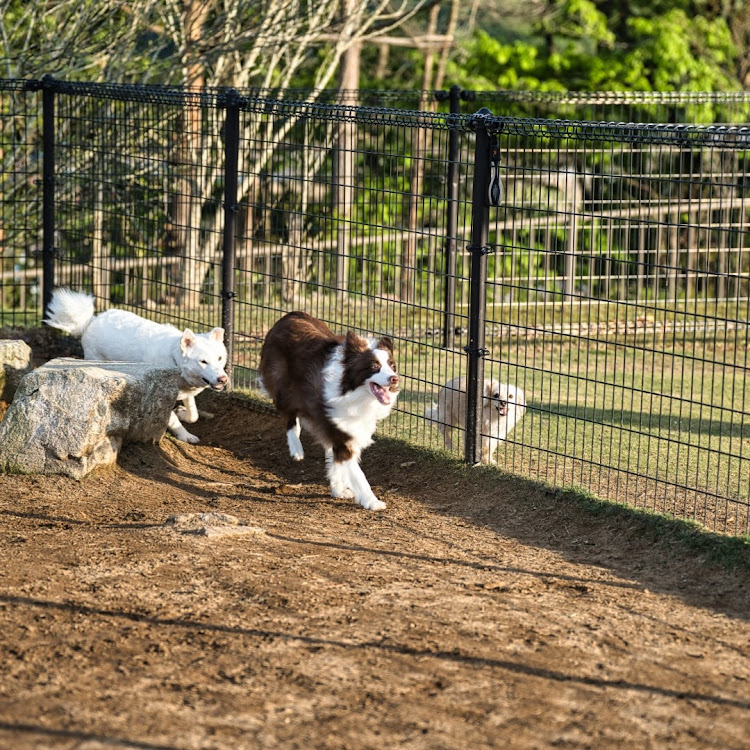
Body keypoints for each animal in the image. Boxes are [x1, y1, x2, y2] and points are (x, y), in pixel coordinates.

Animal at [45, 286, 228, 440]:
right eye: (203, 361)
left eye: (220, 358)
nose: (223, 379)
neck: (174, 360)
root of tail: (93, 319)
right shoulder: (160, 397)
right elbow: (173, 419)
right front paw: (185, 435)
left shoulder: (186, 394)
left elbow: (193, 415)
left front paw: (183, 412)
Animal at [258, 310, 400, 512]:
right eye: (374, 367)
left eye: (392, 366)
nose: (395, 378)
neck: (354, 393)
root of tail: (290, 314)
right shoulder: (342, 435)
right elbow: (358, 474)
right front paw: (371, 501)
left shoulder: (349, 428)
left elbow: (336, 462)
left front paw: (338, 489)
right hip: (283, 385)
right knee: (288, 415)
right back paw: (296, 448)